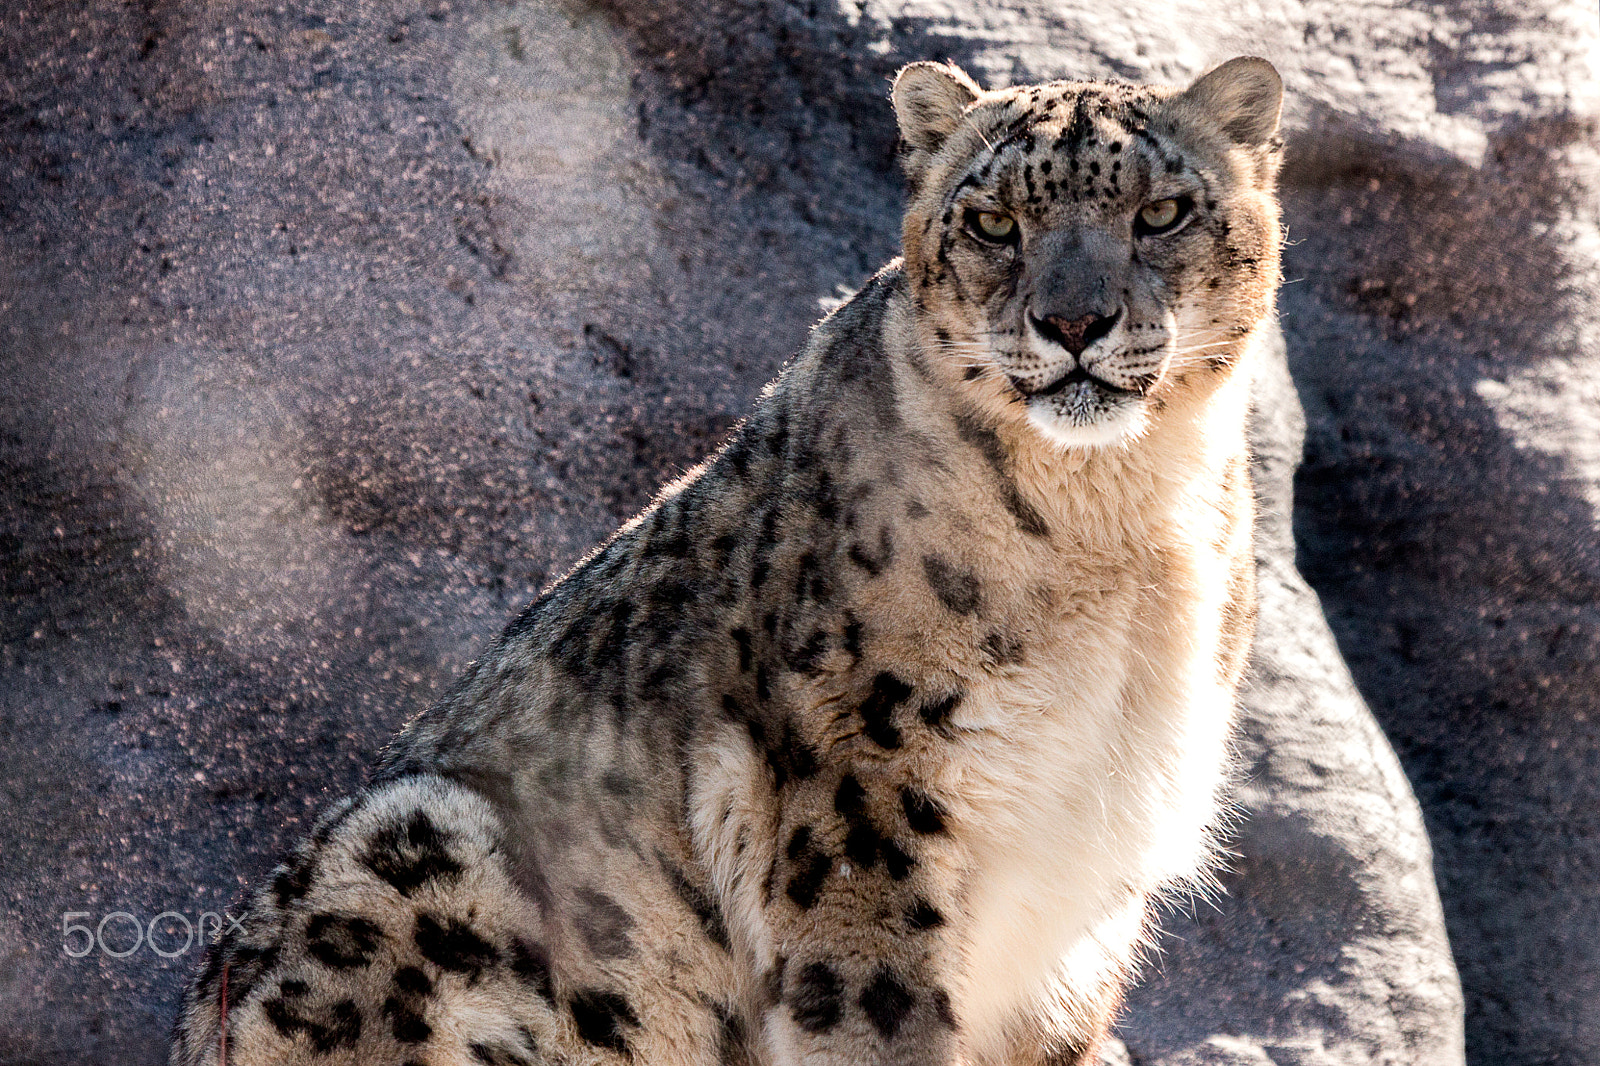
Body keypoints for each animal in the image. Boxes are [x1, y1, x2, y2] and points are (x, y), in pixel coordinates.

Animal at [171, 55, 1283, 1066]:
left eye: (1162, 212)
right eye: (993, 223)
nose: (1073, 322)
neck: (1119, 524)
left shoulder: (1088, 881)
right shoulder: (865, 783)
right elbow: (875, 1010)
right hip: (416, 845)